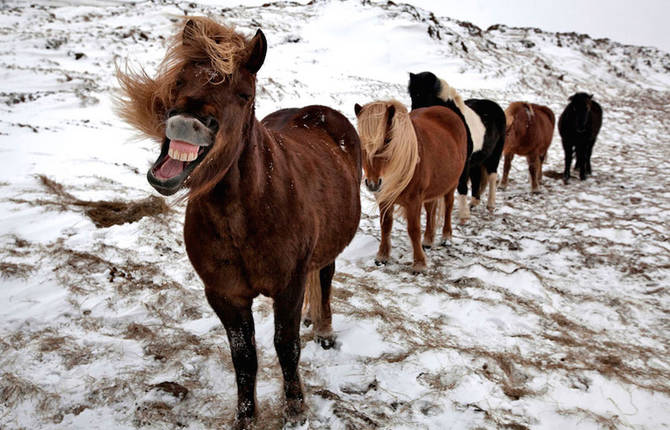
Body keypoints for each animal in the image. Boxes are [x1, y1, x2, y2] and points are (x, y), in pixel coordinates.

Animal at [118, 16, 364, 426]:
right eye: (179, 80)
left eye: (244, 94)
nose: (186, 123)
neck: (245, 215)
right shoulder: (224, 295)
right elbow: (244, 358)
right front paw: (245, 418)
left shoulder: (289, 285)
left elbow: (286, 345)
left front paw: (295, 409)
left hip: (327, 249)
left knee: (325, 277)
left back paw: (324, 329)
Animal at [354, 100, 470, 272]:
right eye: (361, 141)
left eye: (387, 140)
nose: (373, 184)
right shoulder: (385, 198)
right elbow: (385, 225)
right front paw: (382, 257)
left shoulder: (414, 201)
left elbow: (413, 230)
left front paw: (419, 264)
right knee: (430, 210)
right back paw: (428, 241)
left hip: (451, 184)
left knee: (448, 207)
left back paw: (446, 237)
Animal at [406, 72, 506, 220]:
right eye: (412, 95)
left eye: (425, 94)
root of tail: (494, 105)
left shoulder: (463, 162)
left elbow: (462, 185)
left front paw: (464, 216)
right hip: (476, 159)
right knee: (476, 177)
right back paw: (473, 203)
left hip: (494, 154)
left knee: (492, 176)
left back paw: (490, 205)